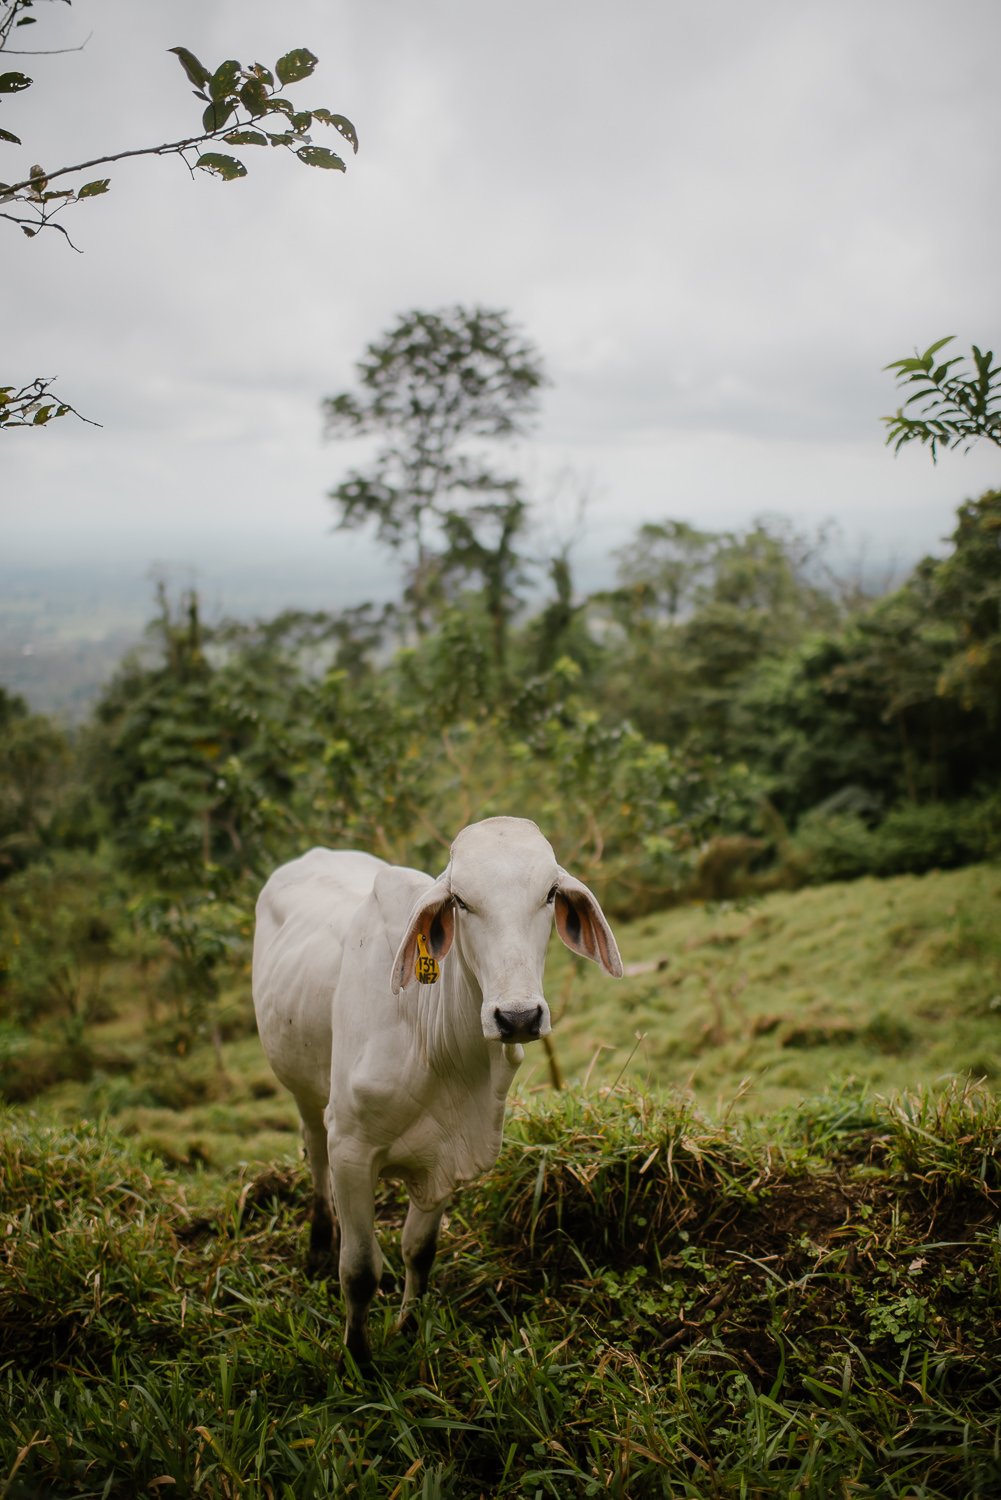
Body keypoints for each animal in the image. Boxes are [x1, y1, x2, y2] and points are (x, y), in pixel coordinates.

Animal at [252, 815, 623, 1366]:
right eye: (462, 901)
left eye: (550, 894)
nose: (517, 1017)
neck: (430, 1040)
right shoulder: (351, 1151)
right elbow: (359, 1270)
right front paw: (359, 1361)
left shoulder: (448, 1151)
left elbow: (418, 1252)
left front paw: (408, 1329)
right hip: (304, 1090)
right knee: (313, 1152)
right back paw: (319, 1242)